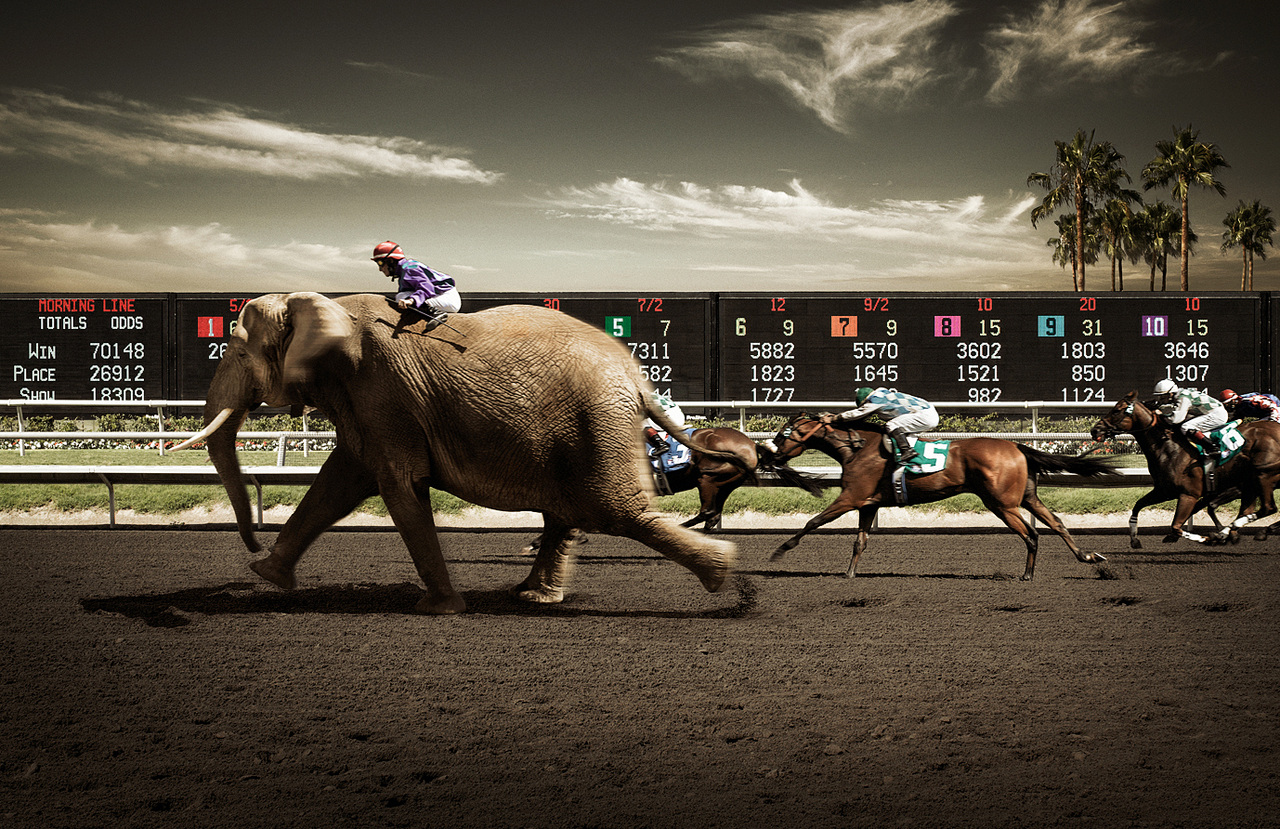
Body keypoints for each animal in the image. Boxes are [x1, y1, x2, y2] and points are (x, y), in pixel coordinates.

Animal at [172, 292, 740, 614]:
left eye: (238, 349)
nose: (249, 542)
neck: (315, 300)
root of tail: (637, 379)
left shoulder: (384, 391)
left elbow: (398, 485)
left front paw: (439, 609)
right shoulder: (366, 401)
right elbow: (339, 484)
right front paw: (266, 575)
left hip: (593, 424)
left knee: (613, 511)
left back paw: (726, 577)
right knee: (567, 512)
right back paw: (531, 598)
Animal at [755, 413, 1120, 580]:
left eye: (784, 433)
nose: (767, 455)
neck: (857, 448)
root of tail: (1017, 446)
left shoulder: (850, 499)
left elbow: (812, 521)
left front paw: (779, 551)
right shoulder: (868, 504)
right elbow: (860, 541)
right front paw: (849, 573)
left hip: (1002, 504)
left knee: (1031, 534)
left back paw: (1028, 574)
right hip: (1027, 498)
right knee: (1057, 524)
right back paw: (1089, 557)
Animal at [1089, 391, 1280, 547]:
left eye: (1117, 410)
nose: (1094, 430)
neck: (1168, 447)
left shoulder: (1189, 494)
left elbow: (1176, 526)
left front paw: (1205, 538)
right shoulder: (1164, 490)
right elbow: (1137, 506)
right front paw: (1135, 540)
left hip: (1263, 476)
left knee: (1268, 509)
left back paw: (1233, 533)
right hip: (1250, 484)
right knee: (1247, 511)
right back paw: (1228, 533)